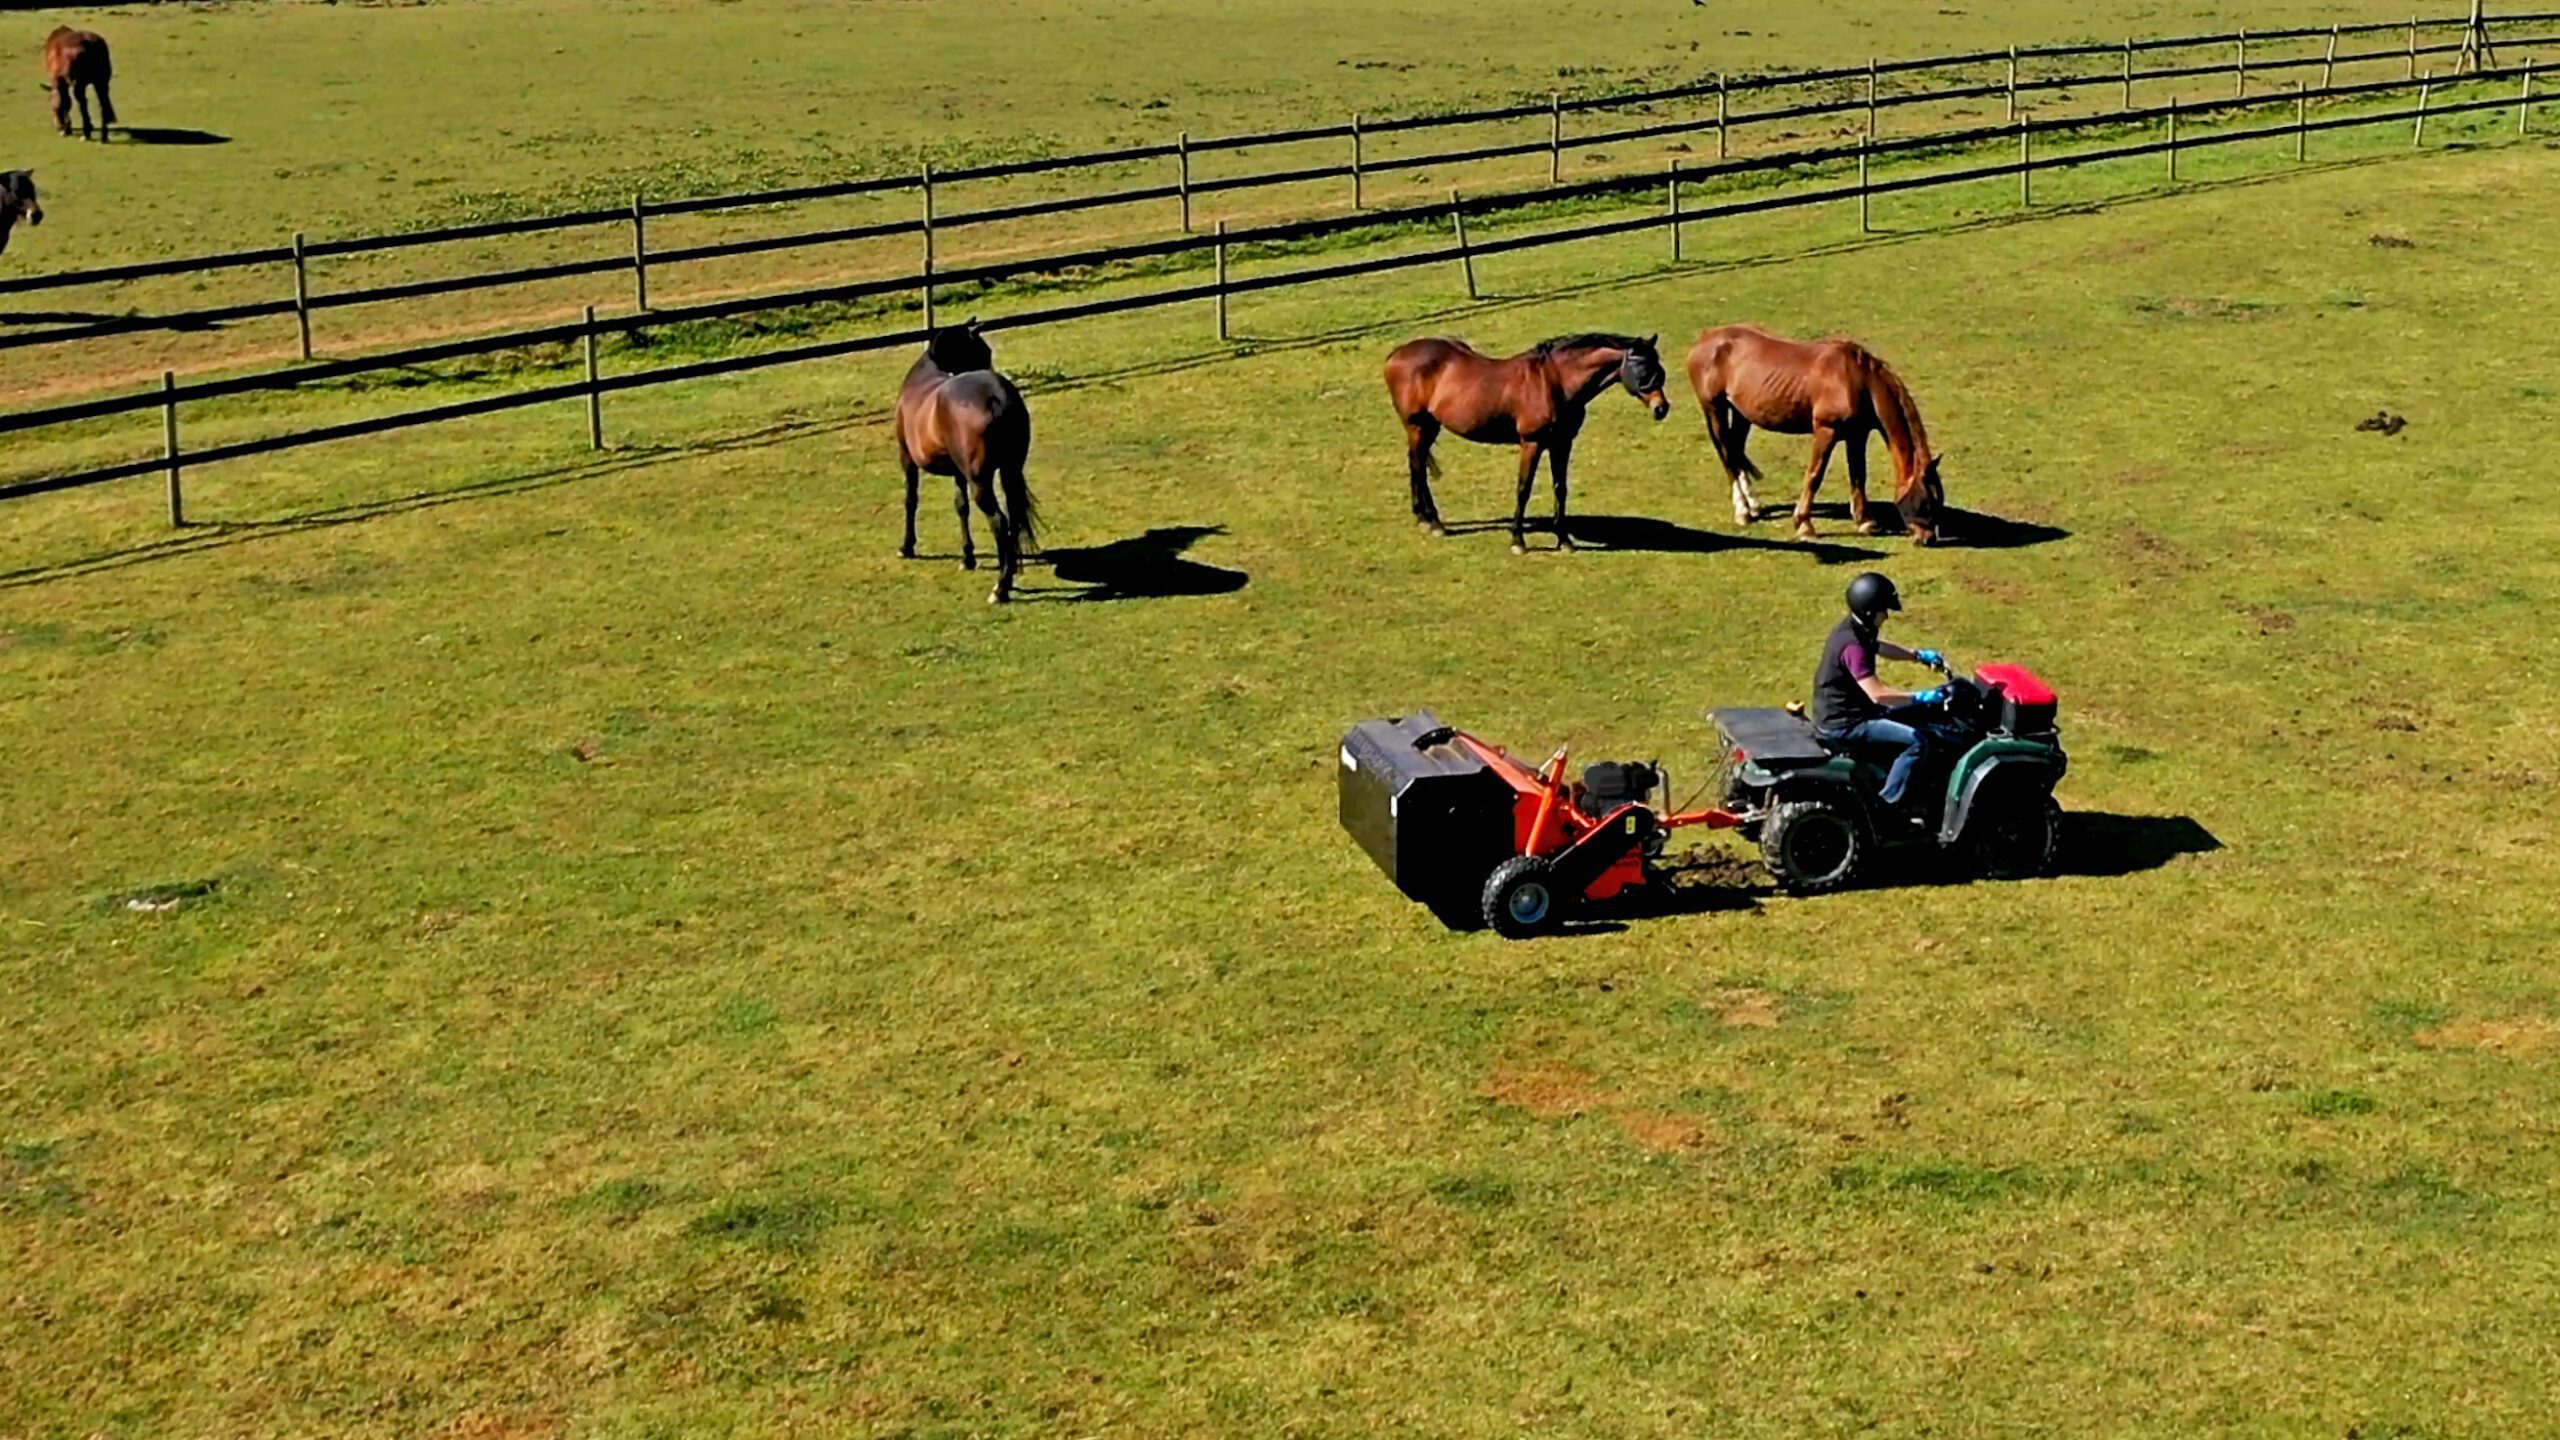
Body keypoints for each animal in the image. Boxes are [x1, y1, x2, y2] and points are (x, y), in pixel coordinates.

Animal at [896, 319, 1039, 604]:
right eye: (982, 352)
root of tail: (997, 396)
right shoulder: (958, 471)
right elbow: (961, 506)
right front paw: (967, 557)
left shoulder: (907, 458)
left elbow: (910, 500)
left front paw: (906, 546)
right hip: (1010, 470)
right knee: (1013, 519)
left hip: (980, 481)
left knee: (999, 522)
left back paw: (1000, 589)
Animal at [1384, 332, 1671, 554]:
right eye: (1643, 371)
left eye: (1661, 371)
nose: (1661, 408)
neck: (1553, 382)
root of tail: (1395, 356)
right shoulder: (1531, 444)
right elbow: (1524, 489)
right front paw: (1517, 541)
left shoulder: (1561, 443)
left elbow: (1560, 488)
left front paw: (1564, 540)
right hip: (1417, 426)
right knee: (1417, 466)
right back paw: (1434, 523)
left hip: (1429, 427)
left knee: (1416, 465)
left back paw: (1424, 518)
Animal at [1685, 324, 1947, 546]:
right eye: (1926, 502)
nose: (1928, 539)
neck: (1856, 379)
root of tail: (1704, 340)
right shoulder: (1825, 430)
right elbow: (1814, 475)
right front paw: (1804, 525)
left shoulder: (1857, 435)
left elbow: (1858, 475)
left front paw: (1865, 522)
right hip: (1715, 410)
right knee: (1727, 456)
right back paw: (1742, 512)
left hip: (1741, 414)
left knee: (1736, 451)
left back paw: (1753, 506)